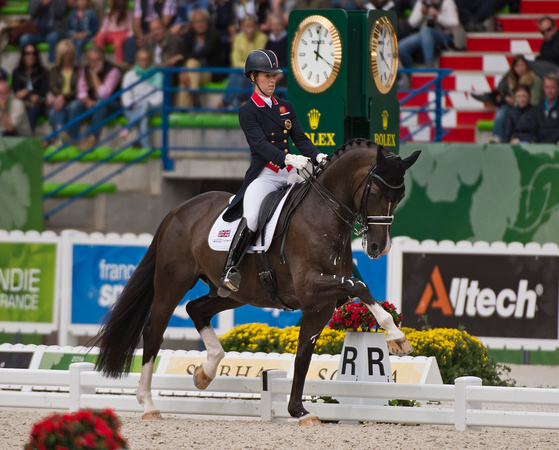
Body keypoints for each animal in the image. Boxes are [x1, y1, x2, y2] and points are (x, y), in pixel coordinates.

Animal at [94, 138, 422, 426]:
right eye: (376, 193)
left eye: (400, 197)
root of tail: (178, 210)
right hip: (172, 282)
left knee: (195, 309)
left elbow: (303, 355)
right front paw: (397, 337)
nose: (379, 248)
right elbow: (360, 287)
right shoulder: (311, 287)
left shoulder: (321, 304)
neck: (322, 213)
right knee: (154, 331)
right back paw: (148, 404)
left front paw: (299, 412)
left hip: (232, 293)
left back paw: (205, 371)